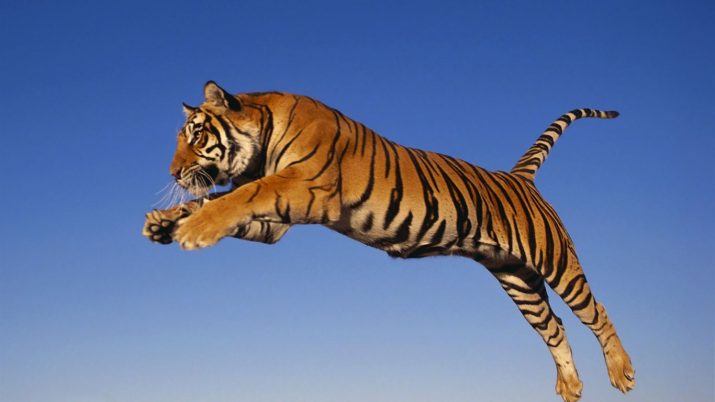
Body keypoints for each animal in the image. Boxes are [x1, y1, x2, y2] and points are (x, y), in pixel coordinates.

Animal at [142, 81, 635, 402]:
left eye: (197, 136)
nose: (172, 173)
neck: (262, 142)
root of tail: (519, 177)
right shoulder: (276, 224)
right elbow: (219, 200)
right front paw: (163, 222)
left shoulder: (303, 187)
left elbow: (238, 196)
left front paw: (193, 229)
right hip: (517, 279)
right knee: (555, 327)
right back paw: (571, 387)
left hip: (555, 260)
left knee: (596, 311)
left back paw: (622, 372)